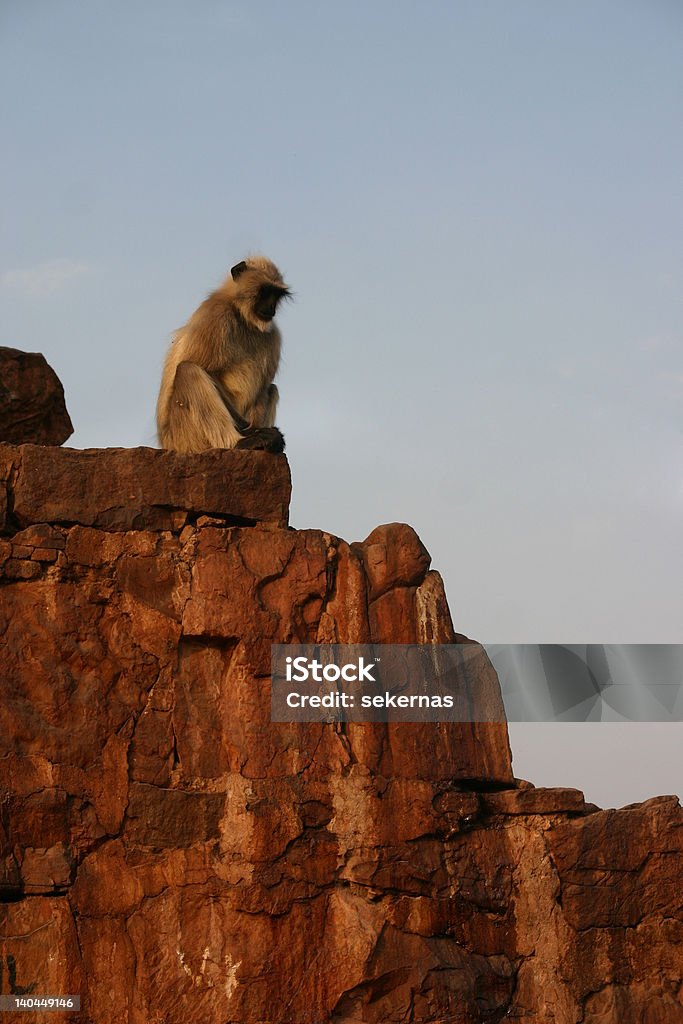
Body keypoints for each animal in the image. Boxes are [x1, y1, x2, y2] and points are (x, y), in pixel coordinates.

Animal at [156, 256, 290, 452]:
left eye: (276, 294)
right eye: (265, 292)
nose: (271, 307)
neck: (241, 315)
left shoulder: (273, 335)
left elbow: (263, 388)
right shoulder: (215, 317)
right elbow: (208, 371)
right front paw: (254, 433)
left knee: (272, 388)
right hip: (184, 436)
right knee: (188, 370)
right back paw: (239, 442)